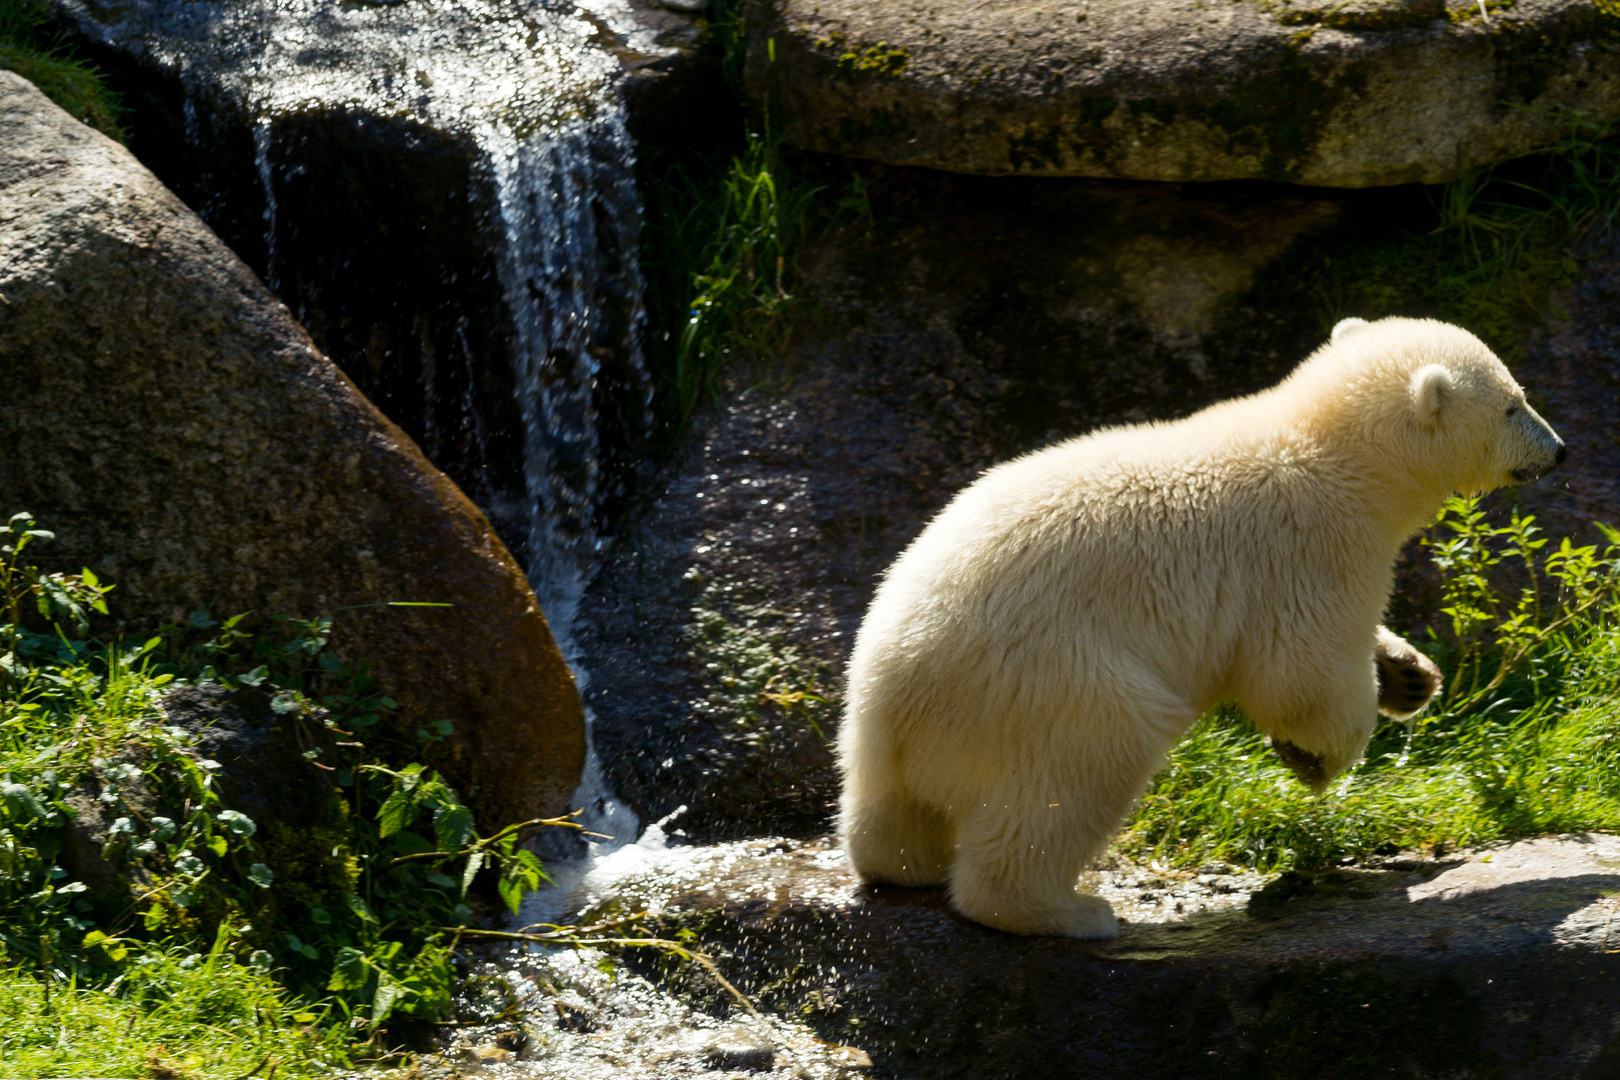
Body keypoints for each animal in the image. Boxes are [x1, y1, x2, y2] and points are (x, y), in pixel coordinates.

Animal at [842, 314, 1561, 939]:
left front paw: (1409, 676)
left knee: (891, 822)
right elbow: (1303, 673)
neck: (1329, 448)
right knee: (1082, 768)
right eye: (1513, 403)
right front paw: (1318, 756)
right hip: (1045, 685)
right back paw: (1071, 912)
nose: (1557, 449)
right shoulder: (1309, 547)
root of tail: (888, 694)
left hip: (895, 739)